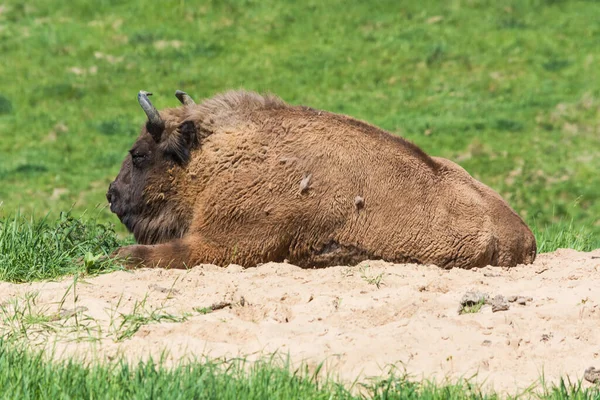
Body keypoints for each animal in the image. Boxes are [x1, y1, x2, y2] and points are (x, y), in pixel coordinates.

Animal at [105, 89, 536, 270]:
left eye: (139, 154)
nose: (112, 194)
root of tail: (524, 235)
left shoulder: (224, 244)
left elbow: (150, 255)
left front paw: (114, 256)